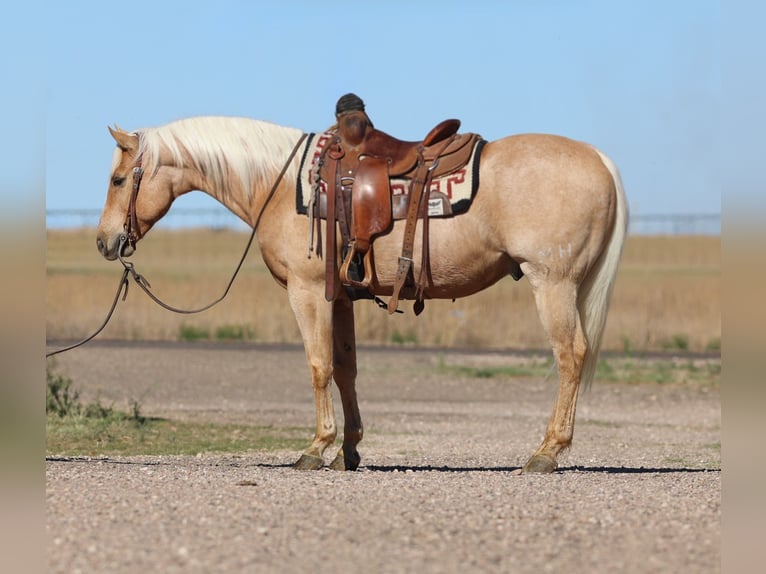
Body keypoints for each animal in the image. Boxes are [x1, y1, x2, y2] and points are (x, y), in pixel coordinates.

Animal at [96, 115, 627, 473]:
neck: (281, 186)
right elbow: (345, 369)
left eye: (118, 179)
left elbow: (318, 366)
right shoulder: (342, 298)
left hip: (552, 283)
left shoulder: (308, 292)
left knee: (570, 355)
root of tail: (599, 159)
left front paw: (316, 448)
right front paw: (347, 450)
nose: (105, 242)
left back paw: (545, 453)